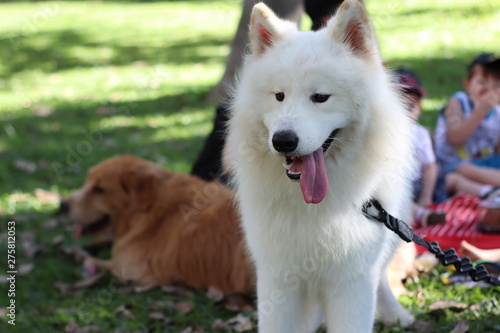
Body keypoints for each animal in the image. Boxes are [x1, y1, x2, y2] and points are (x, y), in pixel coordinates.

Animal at [60, 154, 254, 292]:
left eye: (99, 189)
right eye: (87, 183)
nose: (62, 205)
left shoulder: (130, 267)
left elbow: (93, 261)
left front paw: (83, 256)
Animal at [226, 1, 414, 330]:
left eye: (321, 97)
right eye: (279, 96)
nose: (283, 141)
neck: (314, 208)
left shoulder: (352, 281)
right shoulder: (277, 279)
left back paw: (396, 313)